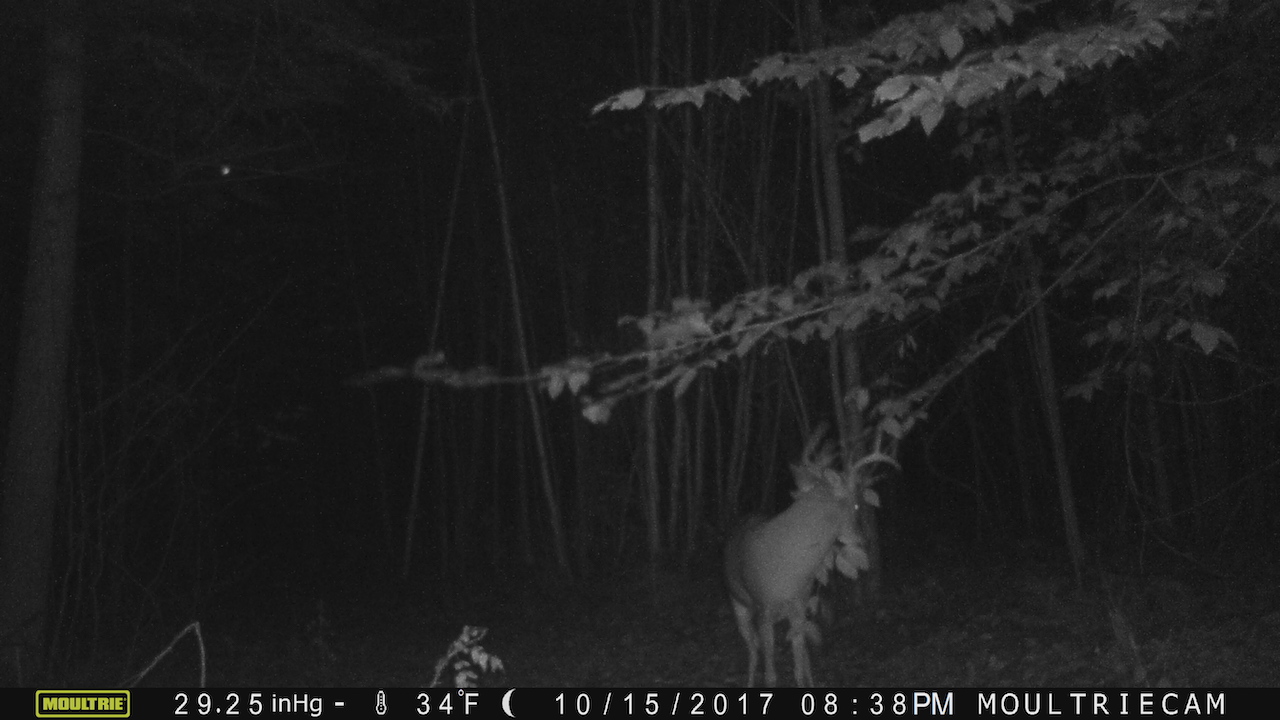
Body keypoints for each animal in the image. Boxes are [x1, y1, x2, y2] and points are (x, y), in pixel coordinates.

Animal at [723, 427, 896, 687]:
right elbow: (771, 675)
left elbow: (800, 665)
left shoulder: (800, 606)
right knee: (753, 649)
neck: (791, 567)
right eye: (856, 505)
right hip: (739, 604)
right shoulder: (764, 608)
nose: (863, 540)